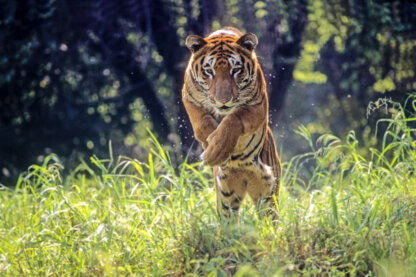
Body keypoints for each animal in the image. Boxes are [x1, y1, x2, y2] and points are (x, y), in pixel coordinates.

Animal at [181, 26, 282, 220]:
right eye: (209, 71)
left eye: (236, 70)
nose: (223, 101)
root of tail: (244, 174)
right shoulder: (189, 98)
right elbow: (203, 122)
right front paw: (211, 148)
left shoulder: (257, 106)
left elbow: (233, 120)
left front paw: (217, 149)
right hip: (226, 194)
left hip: (268, 192)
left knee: (268, 218)